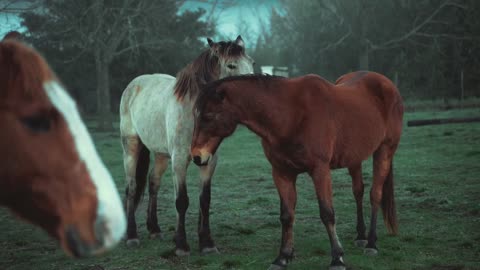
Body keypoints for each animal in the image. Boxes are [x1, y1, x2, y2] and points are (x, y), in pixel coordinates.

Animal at [119, 34, 255, 254]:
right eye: (231, 65)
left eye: (252, 62)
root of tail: (134, 85)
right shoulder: (180, 160)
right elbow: (182, 201)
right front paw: (181, 245)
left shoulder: (209, 161)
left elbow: (204, 200)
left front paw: (207, 243)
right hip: (131, 147)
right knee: (131, 187)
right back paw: (132, 236)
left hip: (161, 155)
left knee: (153, 183)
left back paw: (154, 229)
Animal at [189, 71, 404, 270]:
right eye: (195, 116)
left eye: (208, 116)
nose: (196, 157)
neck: (291, 115)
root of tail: (387, 84)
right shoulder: (282, 172)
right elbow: (287, 215)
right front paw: (282, 257)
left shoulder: (320, 170)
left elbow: (327, 213)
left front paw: (337, 258)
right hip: (355, 157)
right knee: (358, 191)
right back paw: (361, 236)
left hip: (384, 150)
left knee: (375, 194)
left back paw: (372, 243)